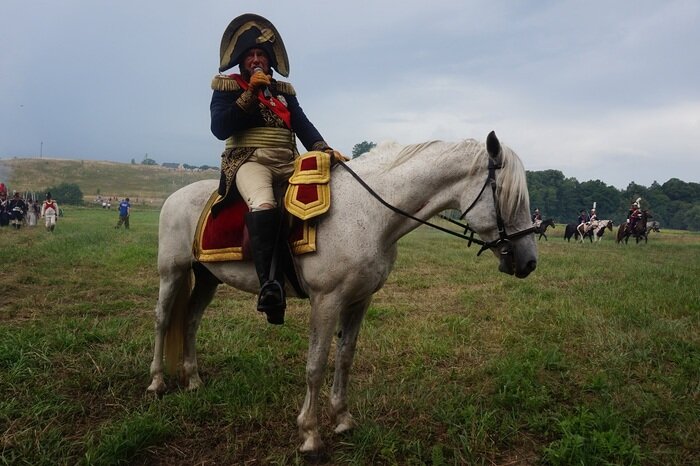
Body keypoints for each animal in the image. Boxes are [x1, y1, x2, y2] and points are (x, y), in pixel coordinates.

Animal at [146, 130, 536, 452]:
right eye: (508, 195)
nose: (529, 261)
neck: (369, 213)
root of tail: (176, 196)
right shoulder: (327, 299)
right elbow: (316, 364)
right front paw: (310, 434)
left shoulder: (360, 300)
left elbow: (345, 356)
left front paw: (343, 419)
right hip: (173, 272)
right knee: (164, 320)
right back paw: (157, 382)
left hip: (207, 278)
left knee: (190, 321)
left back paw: (194, 379)